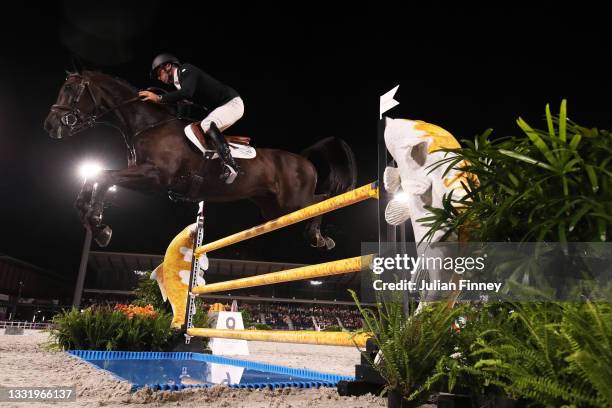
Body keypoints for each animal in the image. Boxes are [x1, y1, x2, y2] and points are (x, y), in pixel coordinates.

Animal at [44, 70, 358, 249]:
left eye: (70, 90)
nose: (50, 125)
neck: (147, 124)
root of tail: (302, 159)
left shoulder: (153, 177)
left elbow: (103, 176)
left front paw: (99, 226)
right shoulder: (144, 178)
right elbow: (95, 177)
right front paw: (91, 218)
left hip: (293, 202)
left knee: (323, 201)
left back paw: (320, 238)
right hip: (274, 209)